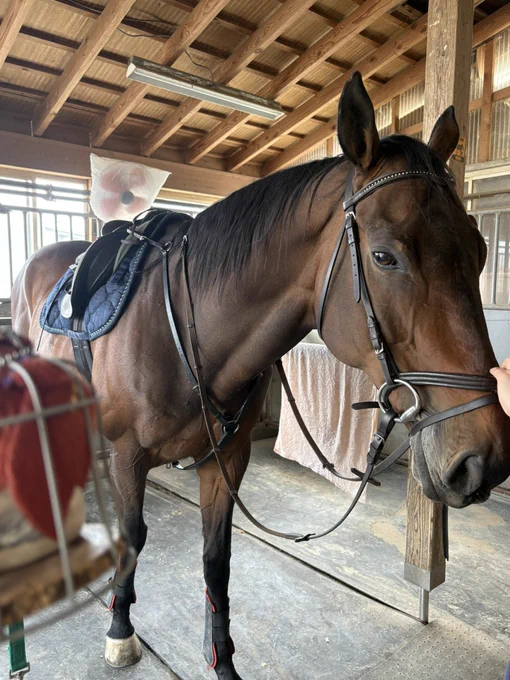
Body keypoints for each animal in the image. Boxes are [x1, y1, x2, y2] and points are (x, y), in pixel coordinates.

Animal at [12, 72, 510, 679]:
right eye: (385, 257)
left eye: (480, 249)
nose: (484, 458)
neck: (184, 333)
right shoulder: (129, 455)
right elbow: (133, 537)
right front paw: (120, 630)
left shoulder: (225, 460)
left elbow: (216, 560)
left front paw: (222, 660)